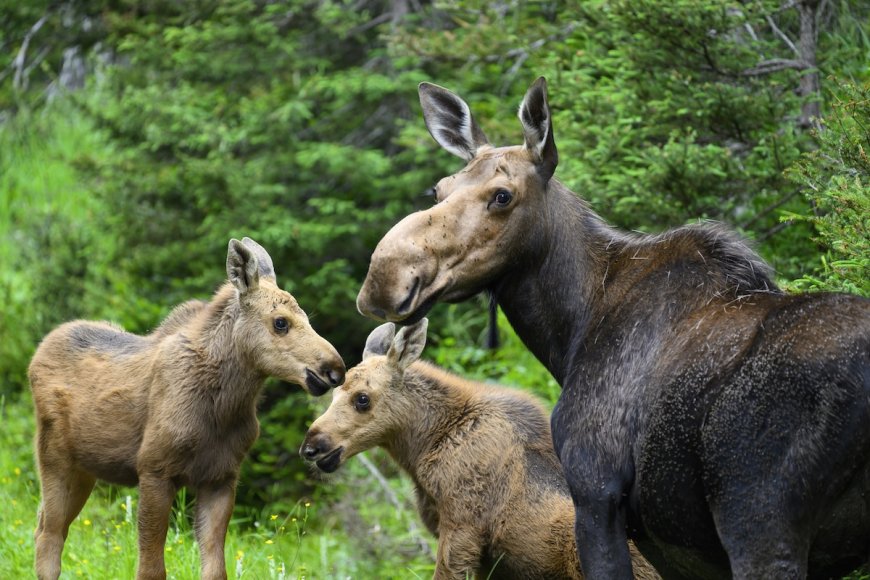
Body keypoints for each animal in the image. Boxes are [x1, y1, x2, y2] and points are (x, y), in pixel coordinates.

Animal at [28, 237, 346, 580]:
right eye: (281, 322)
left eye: (308, 319)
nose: (335, 369)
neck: (225, 408)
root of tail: (37, 355)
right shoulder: (154, 469)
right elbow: (151, 568)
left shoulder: (221, 478)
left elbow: (215, 568)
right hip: (54, 457)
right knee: (50, 534)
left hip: (85, 468)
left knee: (44, 525)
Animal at [355, 77, 870, 579]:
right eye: (439, 190)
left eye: (502, 196)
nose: (385, 278)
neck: (571, 332)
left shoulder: (596, 493)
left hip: (759, 522)